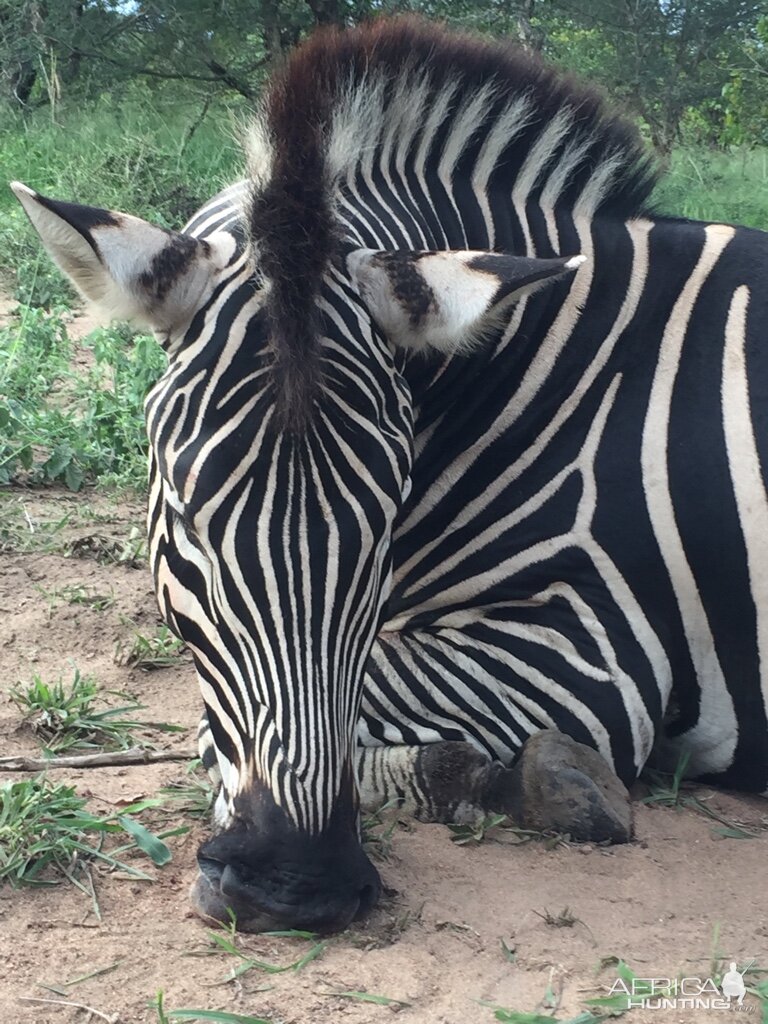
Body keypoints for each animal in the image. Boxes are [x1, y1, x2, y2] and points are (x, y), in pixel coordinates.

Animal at [12, 19, 768, 937]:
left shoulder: (601, 641)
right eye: (187, 518)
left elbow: (246, 723)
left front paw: (534, 779)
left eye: (386, 523)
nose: (295, 888)